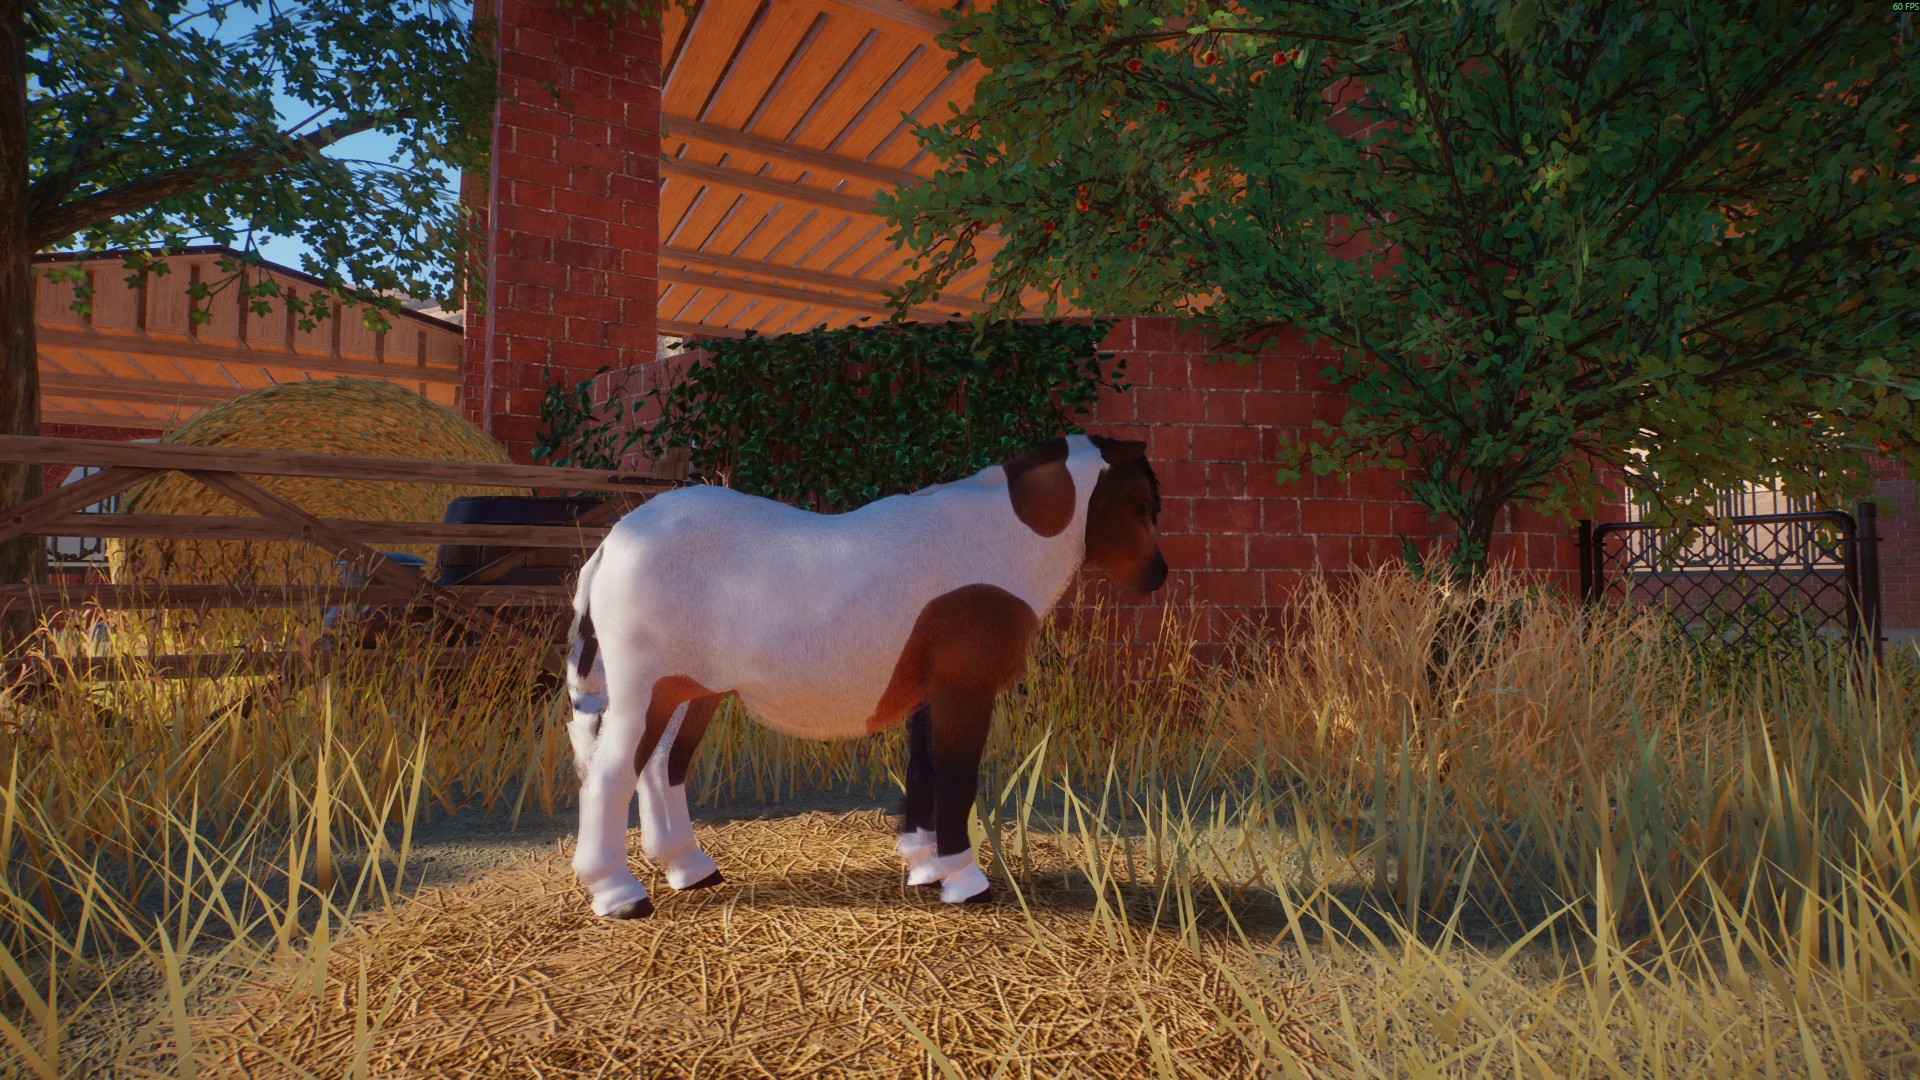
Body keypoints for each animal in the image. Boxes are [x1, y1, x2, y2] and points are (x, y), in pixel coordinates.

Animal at [563, 433, 1166, 919]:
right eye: (1140, 505)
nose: (1157, 576)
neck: (985, 544)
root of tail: (614, 542)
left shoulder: (930, 693)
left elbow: (925, 770)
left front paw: (926, 868)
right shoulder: (964, 688)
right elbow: (956, 775)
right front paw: (966, 881)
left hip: (690, 693)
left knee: (662, 768)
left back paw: (690, 869)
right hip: (644, 695)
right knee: (610, 776)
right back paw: (619, 895)